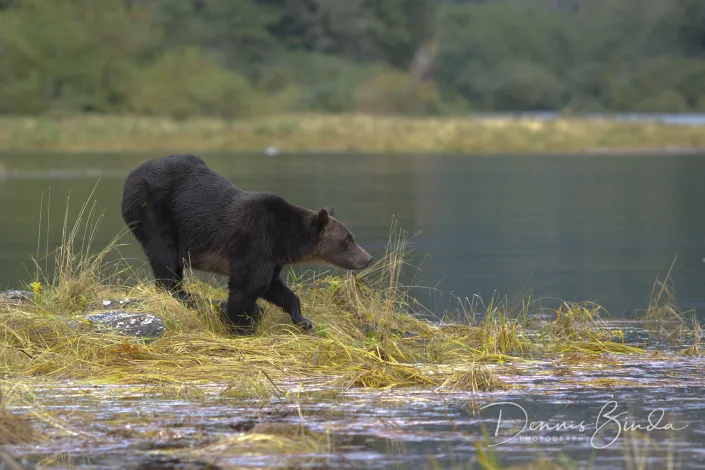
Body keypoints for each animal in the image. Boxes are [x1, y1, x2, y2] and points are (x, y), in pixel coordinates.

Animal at [120, 154, 374, 334]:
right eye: (348, 240)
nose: (368, 258)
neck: (284, 238)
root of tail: (132, 173)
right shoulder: (254, 239)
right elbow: (247, 286)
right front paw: (240, 324)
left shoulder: (272, 257)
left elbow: (272, 286)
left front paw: (303, 319)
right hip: (152, 210)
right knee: (164, 254)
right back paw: (182, 294)